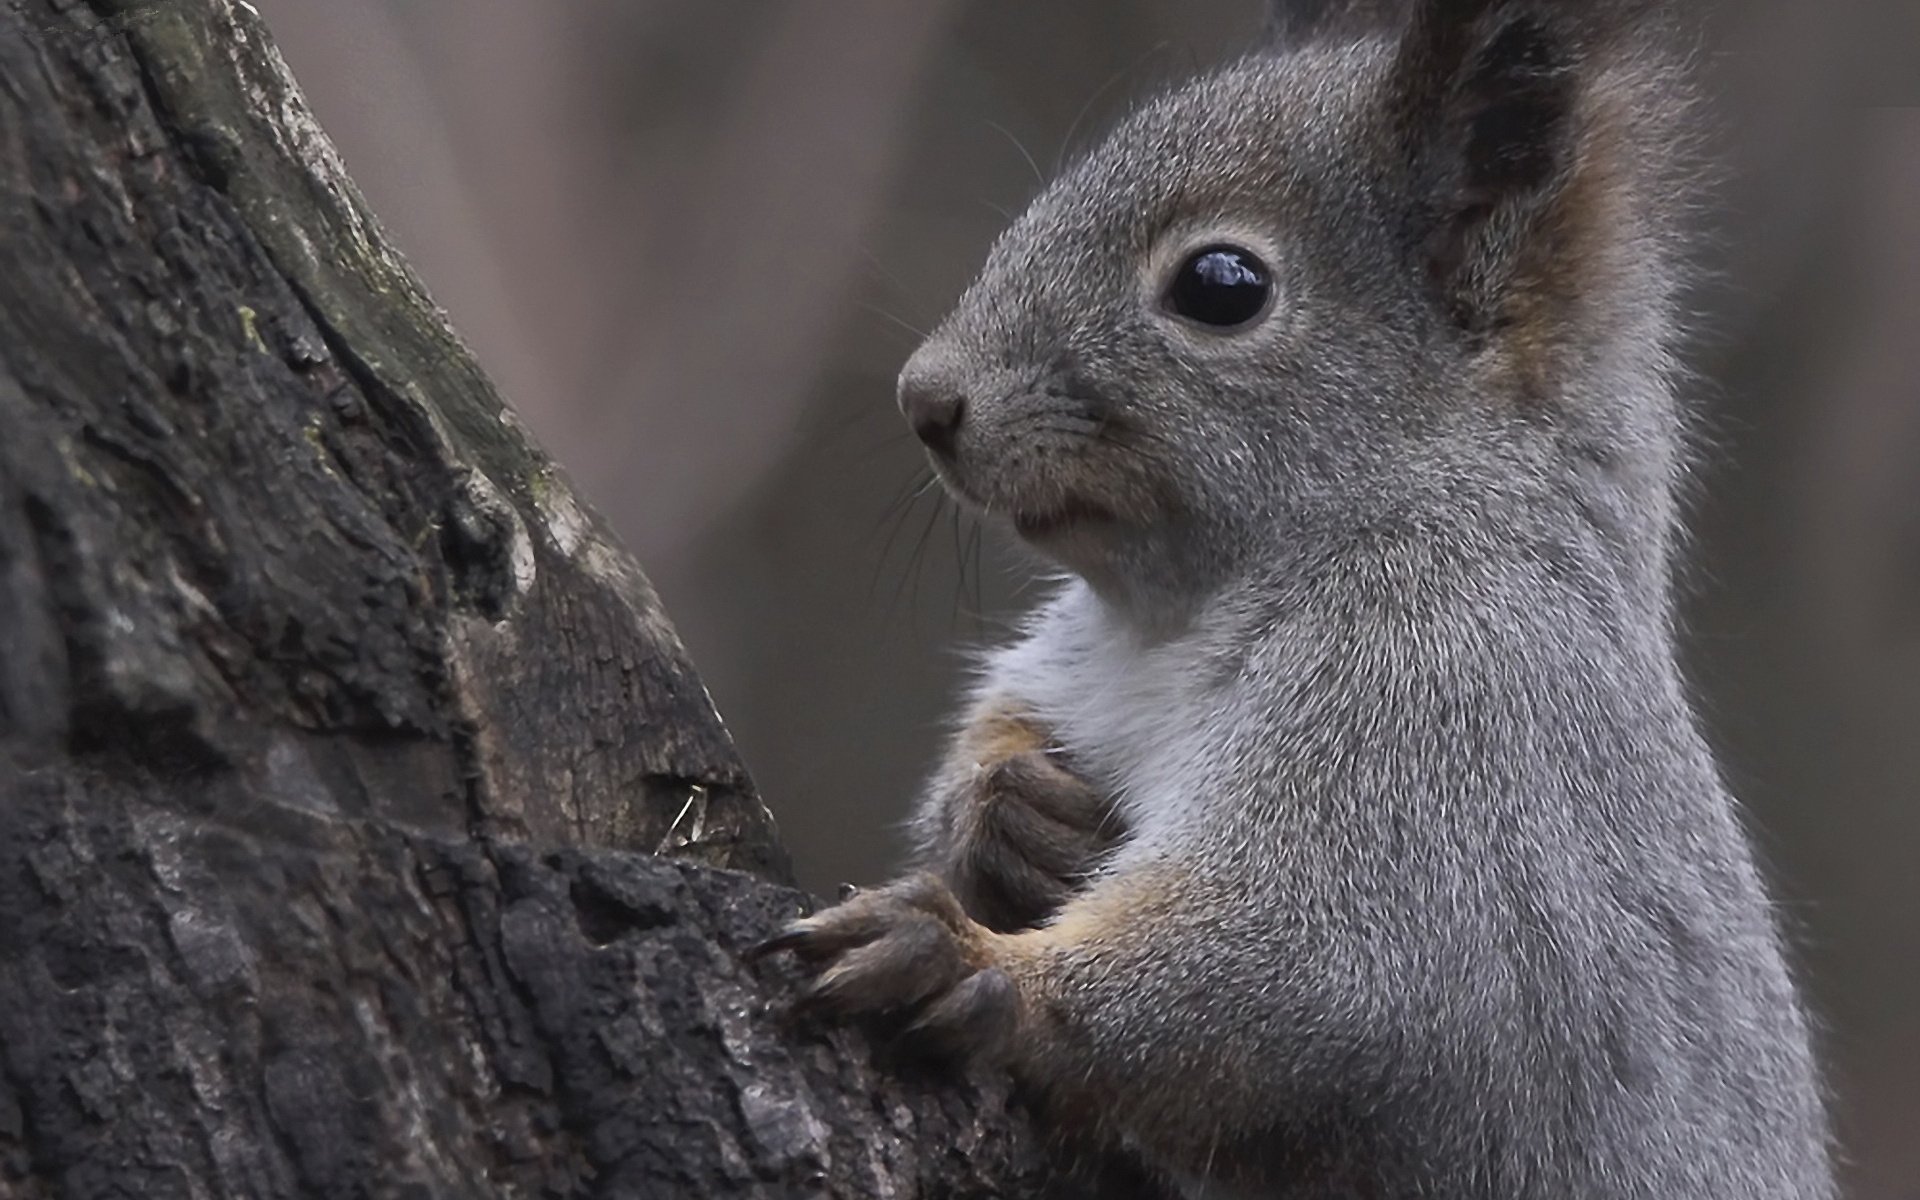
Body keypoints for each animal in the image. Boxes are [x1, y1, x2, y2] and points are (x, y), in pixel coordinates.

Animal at [764, 1, 1835, 1196]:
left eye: (1222, 286)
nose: (927, 398)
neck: (1170, 619)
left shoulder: (1452, 718)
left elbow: (1324, 967)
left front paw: (968, 964)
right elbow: (1000, 735)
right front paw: (1006, 814)